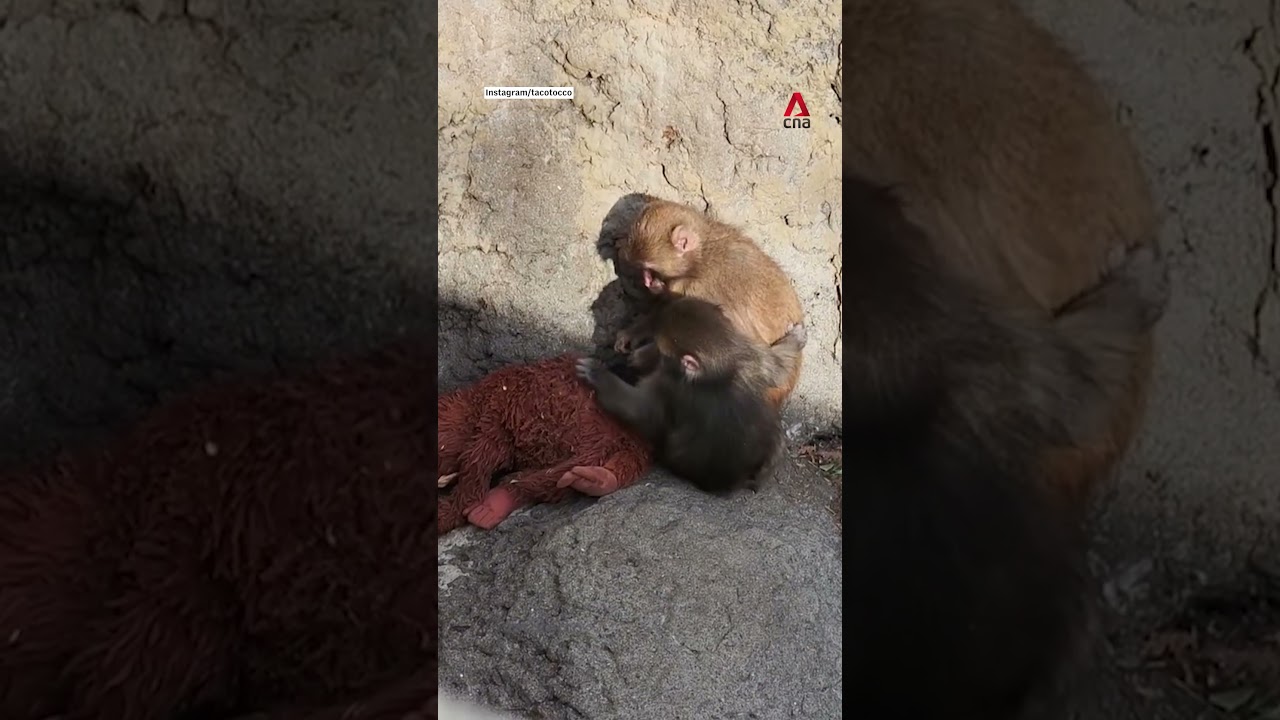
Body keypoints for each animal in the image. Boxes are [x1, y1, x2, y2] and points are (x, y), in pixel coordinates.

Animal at [576, 296, 807, 495]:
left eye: (660, 350)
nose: (645, 353)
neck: (722, 364)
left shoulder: (668, 387)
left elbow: (641, 411)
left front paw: (598, 374)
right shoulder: (751, 354)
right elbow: (777, 367)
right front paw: (796, 337)